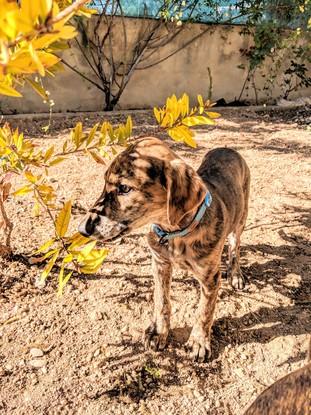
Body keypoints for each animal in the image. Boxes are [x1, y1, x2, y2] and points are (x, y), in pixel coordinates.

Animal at [78, 136, 251, 360]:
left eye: (124, 188)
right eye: (104, 182)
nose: (82, 229)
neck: (175, 233)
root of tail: (228, 148)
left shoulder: (210, 278)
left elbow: (205, 311)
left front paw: (198, 341)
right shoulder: (159, 263)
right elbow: (161, 300)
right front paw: (159, 332)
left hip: (241, 218)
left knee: (234, 247)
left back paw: (236, 274)